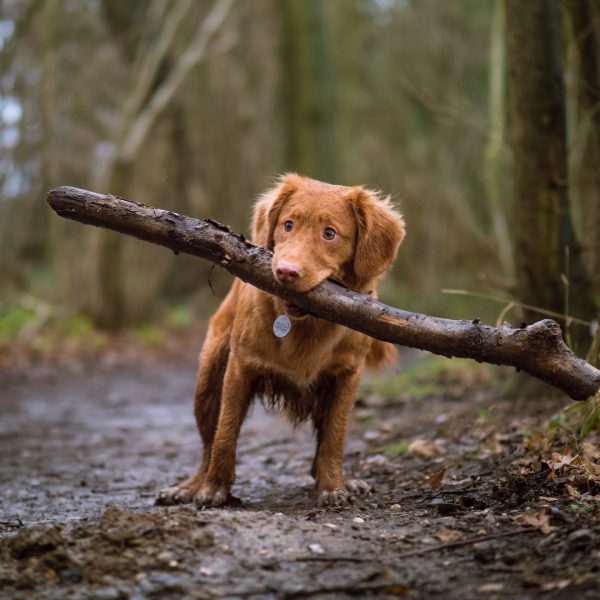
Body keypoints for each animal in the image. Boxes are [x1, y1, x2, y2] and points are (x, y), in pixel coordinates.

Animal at [157, 173, 406, 506]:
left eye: (330, 234)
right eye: (288, 225)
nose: (286, 272)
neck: (306, 324)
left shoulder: (347, 375)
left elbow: (334, 436)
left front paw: (333, 486)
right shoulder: (240, 366)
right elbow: (225, 432)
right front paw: (214, 488)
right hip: (208, 381)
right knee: (208, 443)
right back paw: (191, 486)